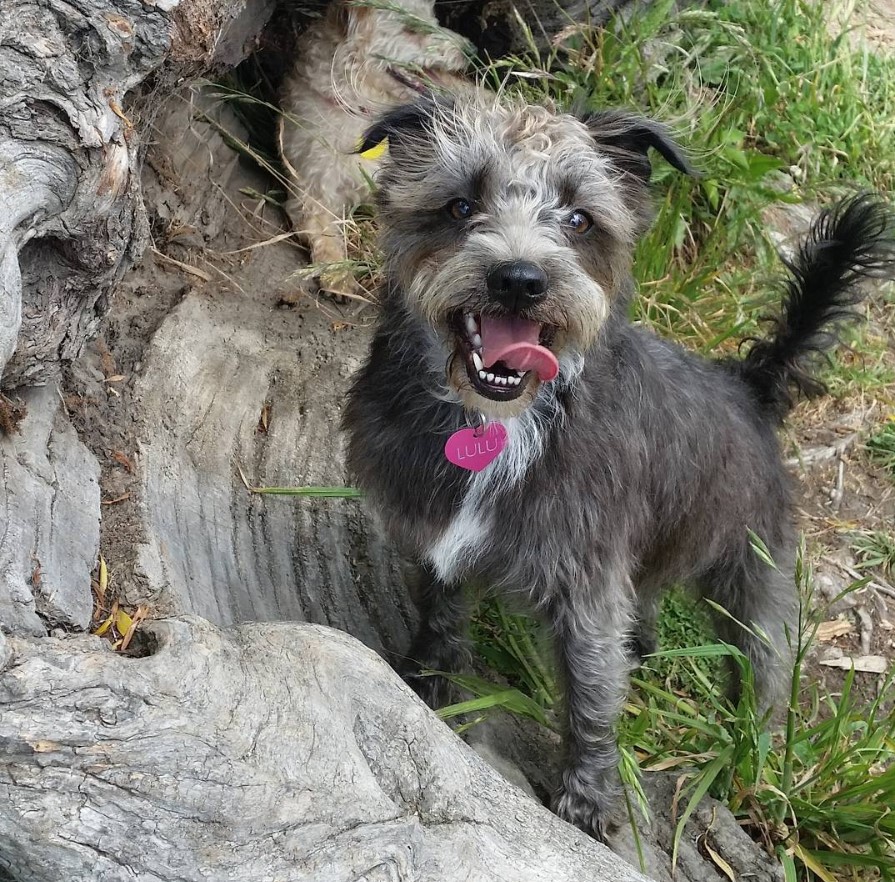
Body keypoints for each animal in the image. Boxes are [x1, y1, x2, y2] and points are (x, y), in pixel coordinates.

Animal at [344, 91, 895, 840]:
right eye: (460, 205)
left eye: (579, 219)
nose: (520, 279)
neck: (502, 422)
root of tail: (747, 384)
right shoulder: (437, 538)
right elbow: (440, 613)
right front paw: (428, 680)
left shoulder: (586, 586)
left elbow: (590, 695)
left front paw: (587, 799)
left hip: (751, 567)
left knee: (763, 659)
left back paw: (752, 746)